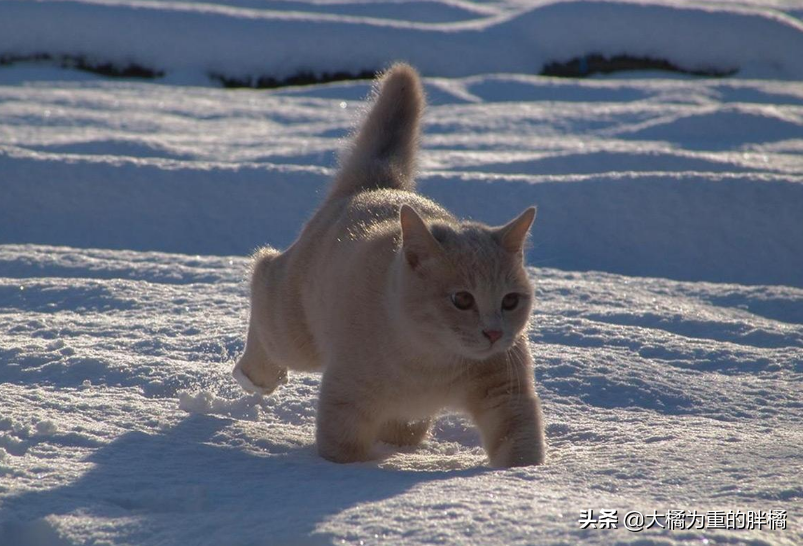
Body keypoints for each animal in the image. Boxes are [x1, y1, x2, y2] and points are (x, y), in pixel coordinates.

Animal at [232, 62, 548, 464]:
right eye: (462, 299)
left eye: (510, 300)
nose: (493, 333)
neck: (434, 360)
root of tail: (376, 186)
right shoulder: (347, 395)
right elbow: (342, 450)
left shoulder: (506, 390)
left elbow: (520, 442)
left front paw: (523, 476)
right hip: (294, 329)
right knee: (264, 273)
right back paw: (256, 374)